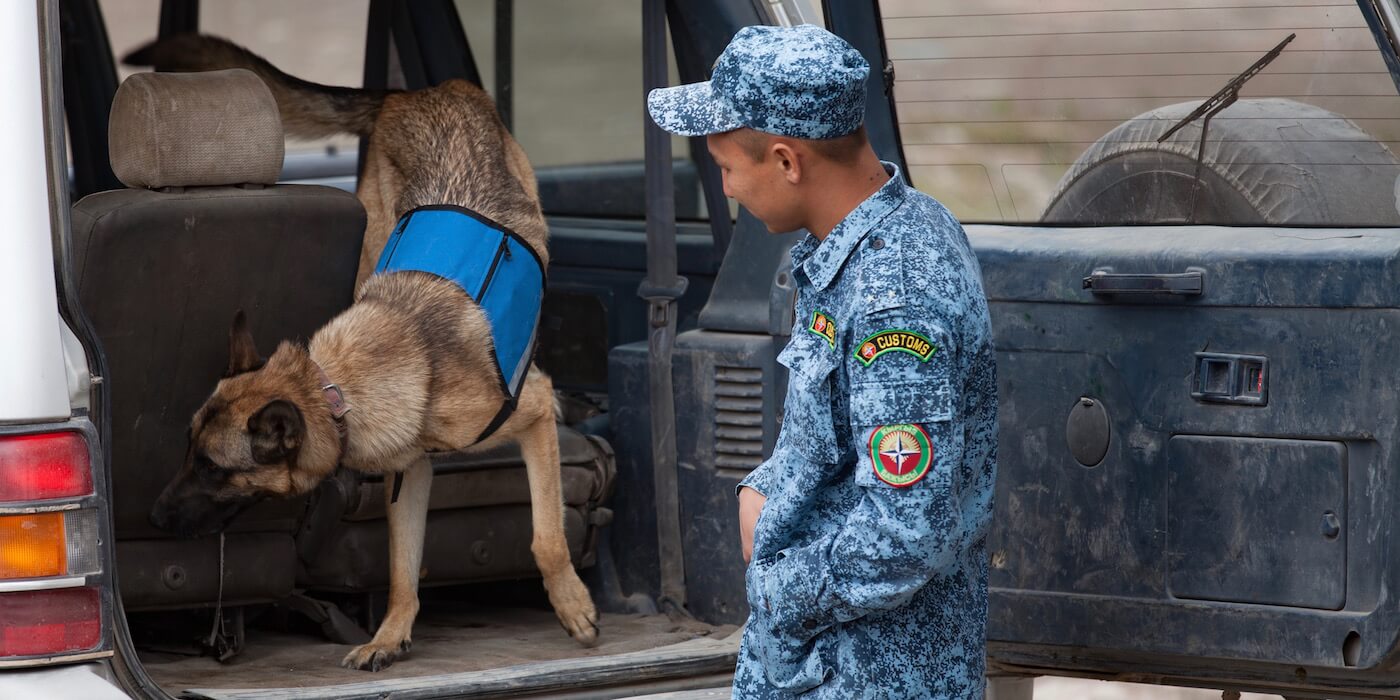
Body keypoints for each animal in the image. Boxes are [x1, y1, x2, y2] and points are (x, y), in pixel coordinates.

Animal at [133, 34, 604, 672]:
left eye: (211, 467)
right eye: (187, 452)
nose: (153, 518)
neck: (336, 388)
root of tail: (424, 90)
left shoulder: (528, 423)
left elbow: (547, 536)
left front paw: (572, 605)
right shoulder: (411, 472)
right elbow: (403, 568)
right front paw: (389, 636)